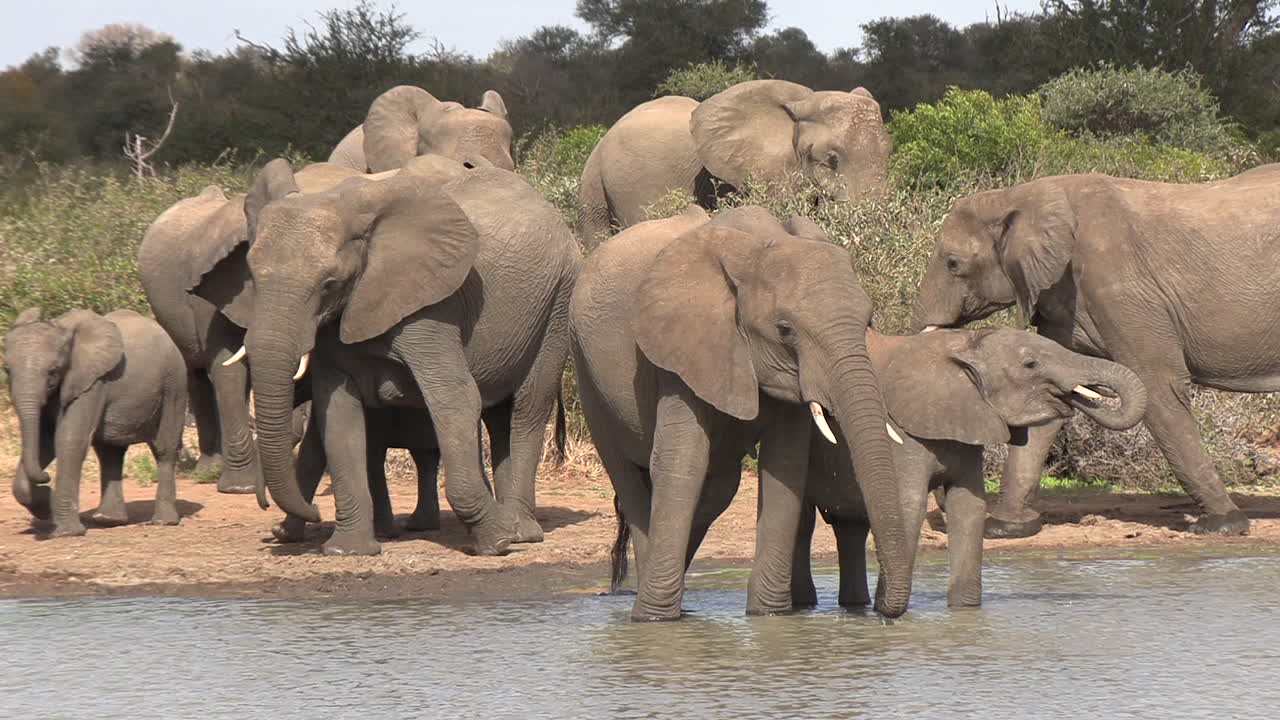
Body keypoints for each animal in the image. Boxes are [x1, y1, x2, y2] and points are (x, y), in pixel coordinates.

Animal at [4, 308, 188, 536]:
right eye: (6, 370)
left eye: (53, 371)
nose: (46, 478)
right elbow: (44, 442)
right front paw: (45, 507)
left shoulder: (92, 382)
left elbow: (69, 439)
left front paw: (67, 532)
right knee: (109, 452)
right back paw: (108, 520)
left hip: (175, 385)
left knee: (164, 449)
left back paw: (164, 522)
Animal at [209, 154, 580, 556]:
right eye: (253, 277)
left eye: (329, 284)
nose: (314, 513)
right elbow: (337, 415)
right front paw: (349, 551)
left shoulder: (431, 307)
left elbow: (455, 398)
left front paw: (495, 544)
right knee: (499, 417)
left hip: (558, 300)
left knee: (528, 409)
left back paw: (519, 533)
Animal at [571, 204, 912, 621]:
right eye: (784, 330)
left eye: (868, 321)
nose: (885, 611)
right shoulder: (679, 347)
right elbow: (682, 460)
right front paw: (654, 621)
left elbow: (785, 465)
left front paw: (769, 616)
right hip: (584, 366)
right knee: (627, 476)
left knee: (717, 489)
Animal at [792, 327, 1148, 610]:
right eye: (1031, 364)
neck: (961, 345)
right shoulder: (903, 436)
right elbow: (908, 507)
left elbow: (969, 507)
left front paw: (964, 613)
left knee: (848, 528)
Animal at [913, 165, 1280, 537]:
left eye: (953, 264)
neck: (1018, 196)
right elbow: (1045, 400)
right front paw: (1005, 528)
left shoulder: (1121, 288)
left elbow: (1158, 389)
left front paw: (1221, 526)